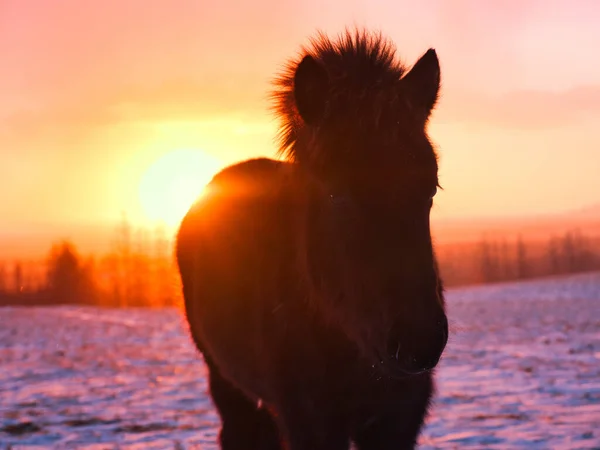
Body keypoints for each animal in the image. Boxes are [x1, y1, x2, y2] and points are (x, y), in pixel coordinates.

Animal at [176, 28, 448, 450]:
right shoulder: (310, 418)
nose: (417, 341)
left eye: (431, 185)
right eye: (335, 192)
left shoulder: (397, 419)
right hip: (224, 377)